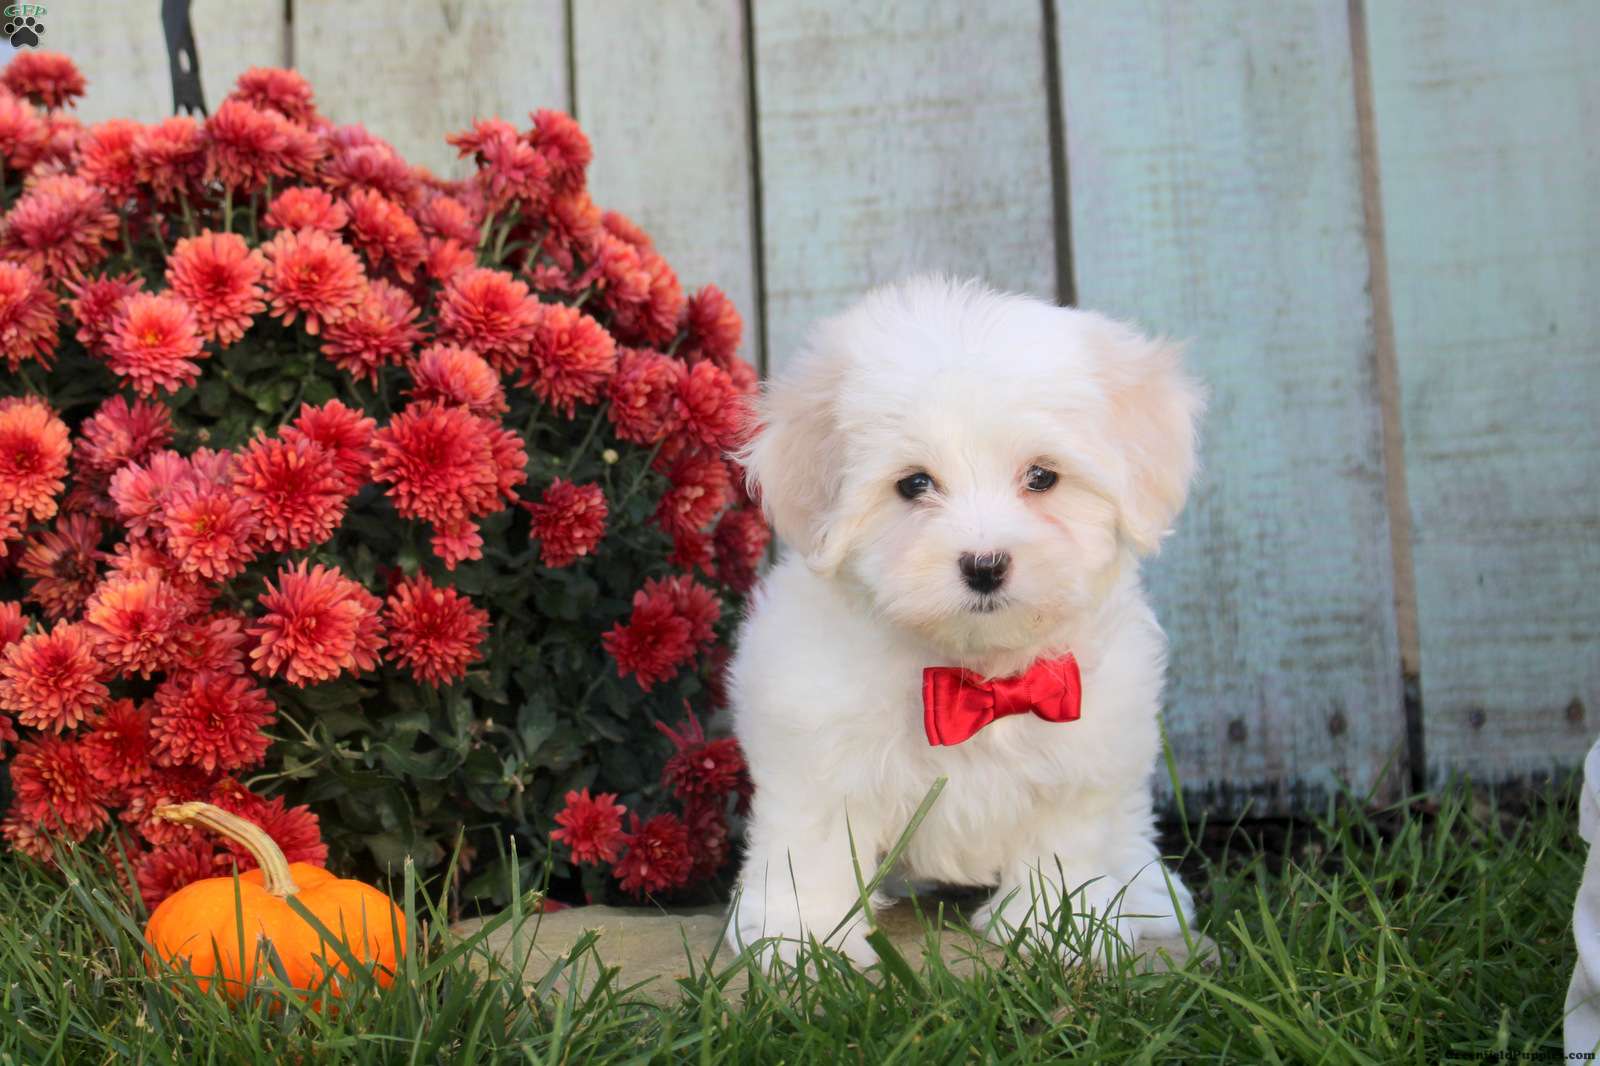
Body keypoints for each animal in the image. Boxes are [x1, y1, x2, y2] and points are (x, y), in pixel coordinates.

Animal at [726, 276, 1205, 965]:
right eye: (914, 484)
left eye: (1042, 476)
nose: (985, 564)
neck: (973, 672)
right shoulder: (812, 737)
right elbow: (810, 843)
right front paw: (802, 939)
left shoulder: (1086, 746)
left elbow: (1063, 838)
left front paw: (1054, 927)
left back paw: (1145, 893)